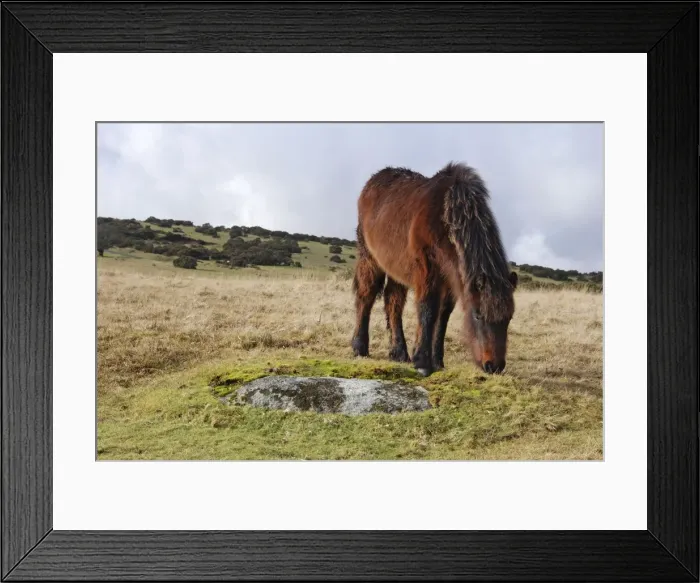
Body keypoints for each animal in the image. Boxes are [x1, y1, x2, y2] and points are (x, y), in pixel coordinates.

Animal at [350, 161, 518, 377]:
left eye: (509, 318)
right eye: (478, 315)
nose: (494, 366)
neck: (444, 217)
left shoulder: (452, 279)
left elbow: (443, 316)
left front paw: (437, 361)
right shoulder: (426, 270)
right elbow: (427, 310)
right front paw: (422, 362)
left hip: (397, 269)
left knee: (393, 303)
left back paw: (399, 353)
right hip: (369, 258)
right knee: (366, 296)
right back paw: (359, 347)